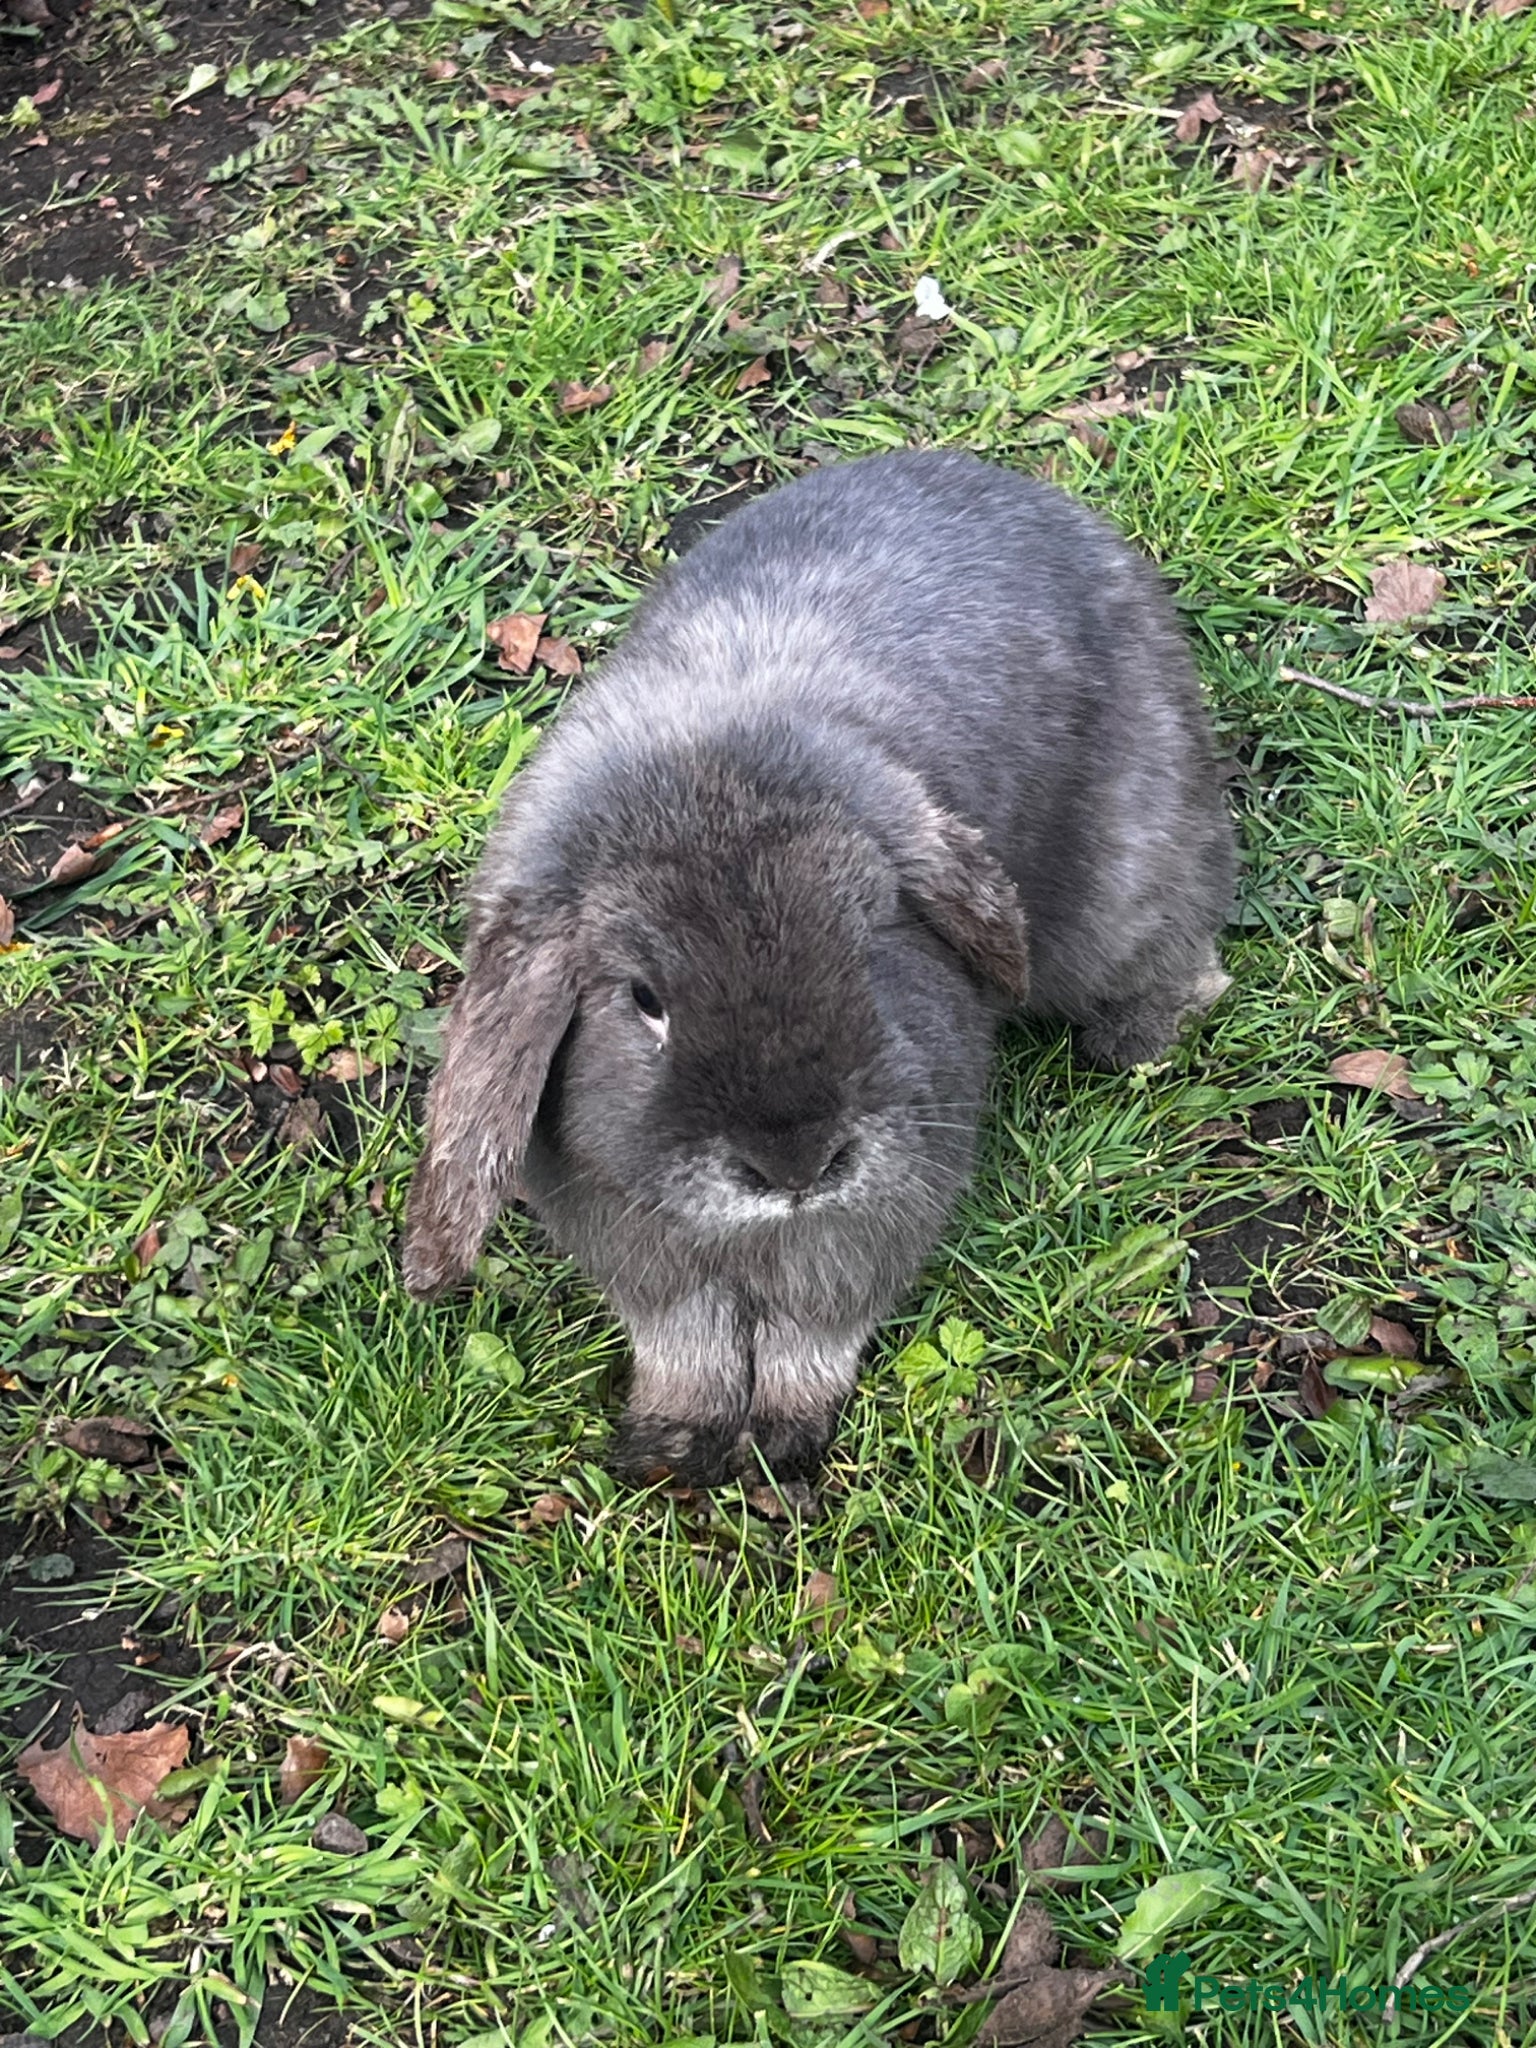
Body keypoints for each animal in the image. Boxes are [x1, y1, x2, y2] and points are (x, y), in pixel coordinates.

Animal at [402, 448, 1235, 1492]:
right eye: (644, 1001)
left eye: (867, 941)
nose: (798, 1160)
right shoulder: (640, 1241)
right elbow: (686, 1340)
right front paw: (671, 1447)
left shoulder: (874, 1212)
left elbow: (814, 1329)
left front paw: (779, 1442)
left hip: (1128, 892)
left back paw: (1136, 1039)